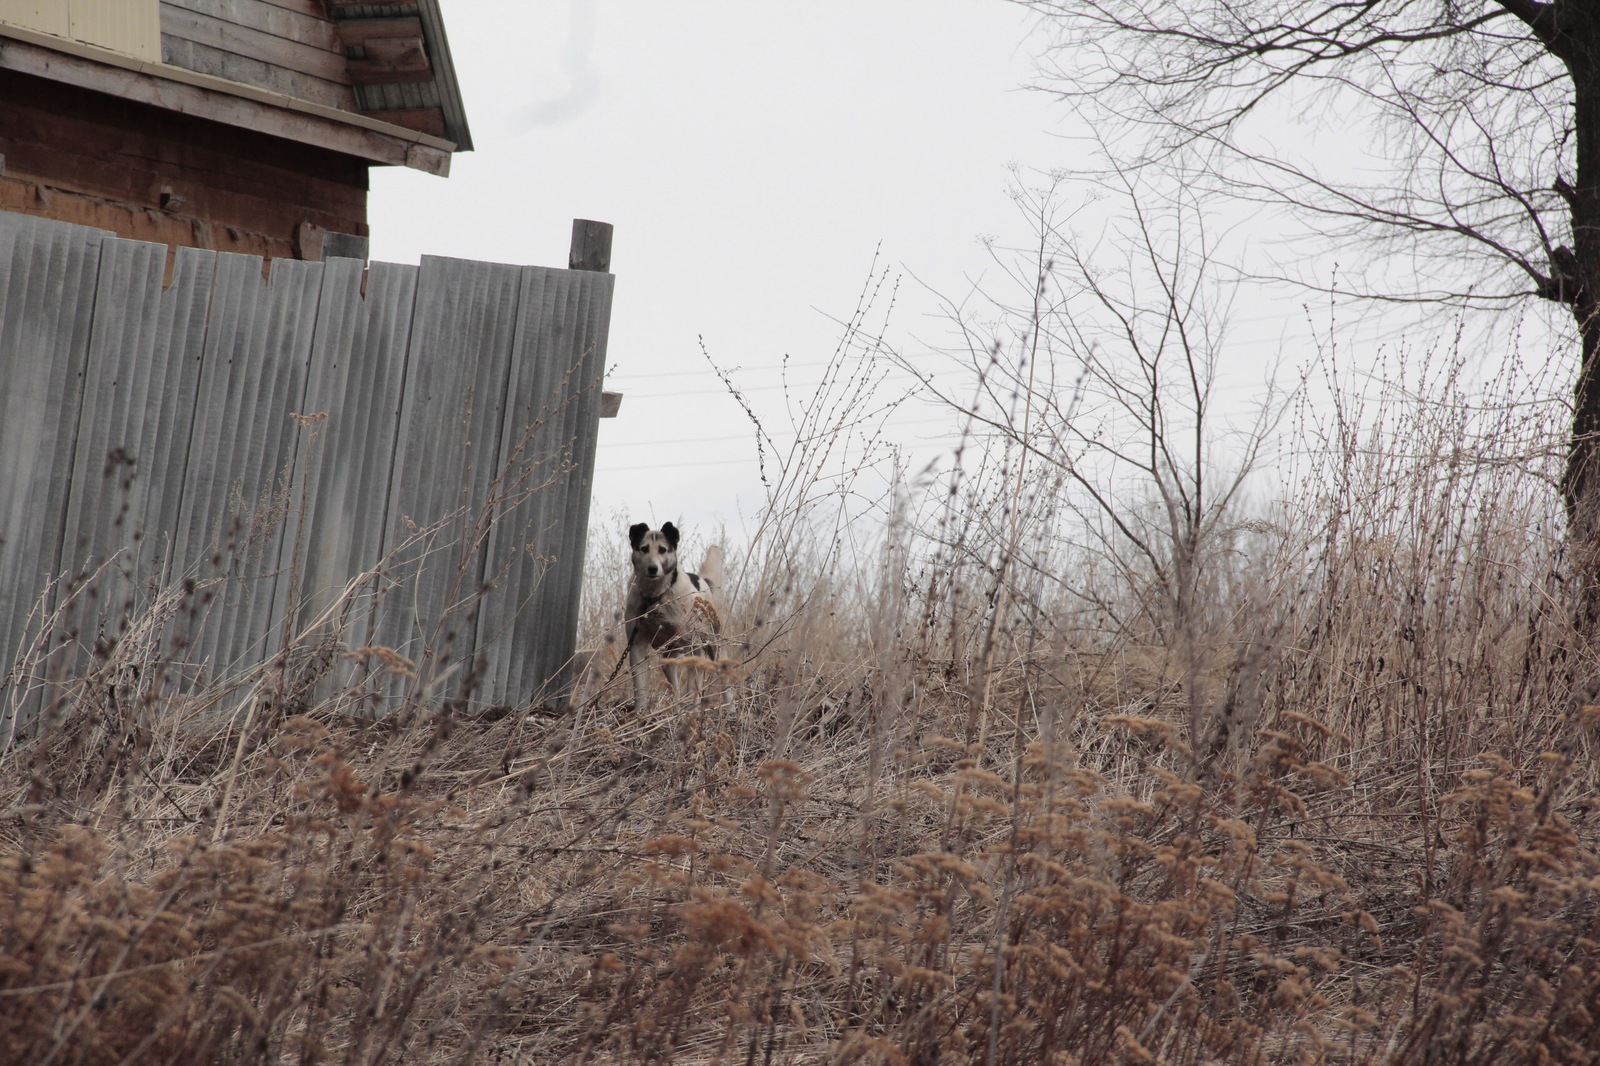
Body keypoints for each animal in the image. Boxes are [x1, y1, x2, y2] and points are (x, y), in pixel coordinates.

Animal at [624, 521, 732, 710]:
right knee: (675, 687)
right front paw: (641, 712)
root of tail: (703, 582)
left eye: (662, 549)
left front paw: (692, 709)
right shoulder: (637, 645)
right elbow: (640, 688)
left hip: (714, 645)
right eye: (644, 549)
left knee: (719, 682)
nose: (653, 568)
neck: (655, 598)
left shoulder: (694, 646)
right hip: (669, 657)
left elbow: (693, 687)